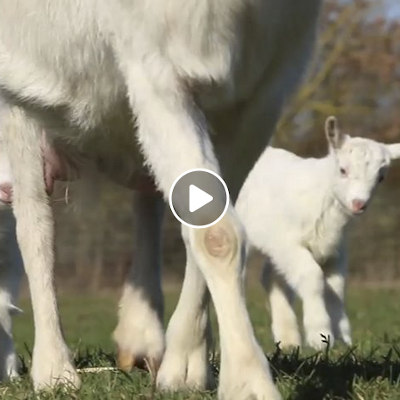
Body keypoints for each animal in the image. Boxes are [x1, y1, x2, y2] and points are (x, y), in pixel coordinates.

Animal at [0, 1, 322, 398]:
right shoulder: (157, 68)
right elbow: (216, 234)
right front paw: (248, 382)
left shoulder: (266, 88)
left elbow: (208, 223)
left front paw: (186, 363)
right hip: (21, 101)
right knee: (36, 228)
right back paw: (54, 369)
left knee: (147, 199)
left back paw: (141, 331)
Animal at [236, 116, 400, 350]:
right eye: (343, 170)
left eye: (381, 177)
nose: (359, 204)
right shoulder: (287, 243)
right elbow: (312, 277)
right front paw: (320, 334)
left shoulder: (336, 250)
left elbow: (337, 287)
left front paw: (342, 337)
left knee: (270, 277)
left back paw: (288, 340)